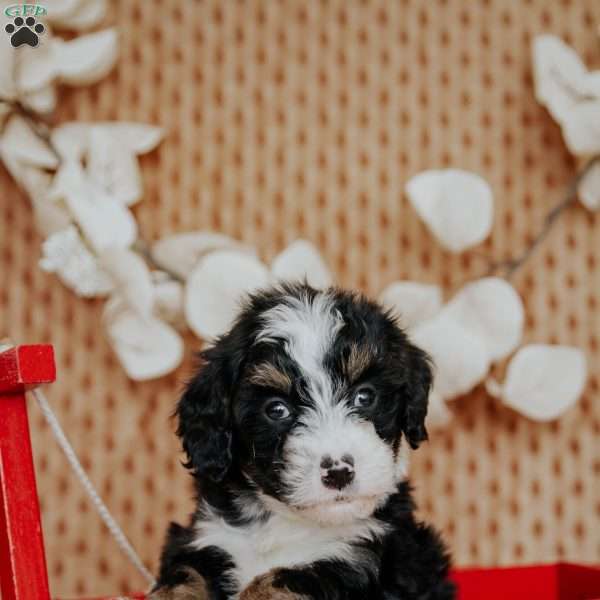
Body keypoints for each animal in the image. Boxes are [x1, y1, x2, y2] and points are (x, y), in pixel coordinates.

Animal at [154, 284, 454, 596]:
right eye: (276, 409)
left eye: (364, 396)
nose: (339, 472)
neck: (287, 522)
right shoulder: (207, 538)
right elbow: (184, 576)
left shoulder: (359, 556)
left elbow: (278, 579)